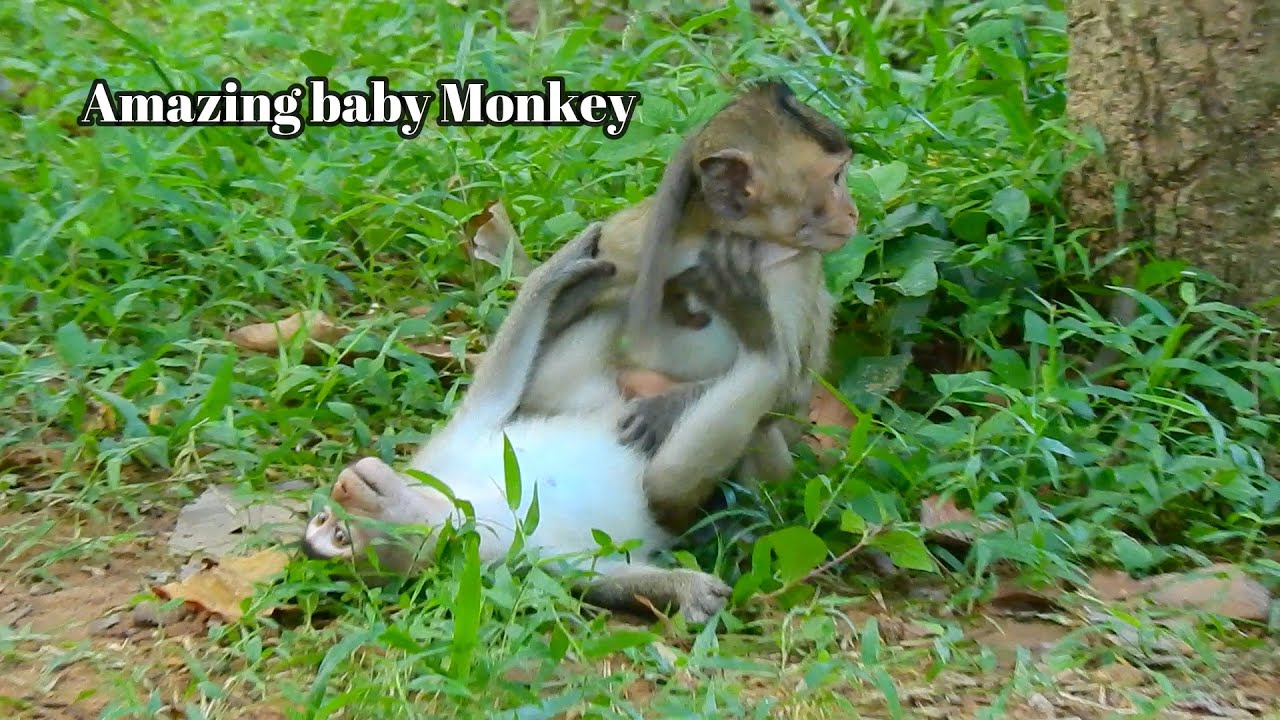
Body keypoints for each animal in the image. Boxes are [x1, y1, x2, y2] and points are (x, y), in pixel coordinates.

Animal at [301, 221, 785, 624]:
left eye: (327, 521)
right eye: (339, 536)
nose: (344, 484)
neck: (451, 508)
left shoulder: (438, 457)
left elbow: (495, 393)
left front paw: (551, 277)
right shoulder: (500, 557)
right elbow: (594, 574)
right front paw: (685, 588)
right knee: (673, 474)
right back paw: (761, 349)